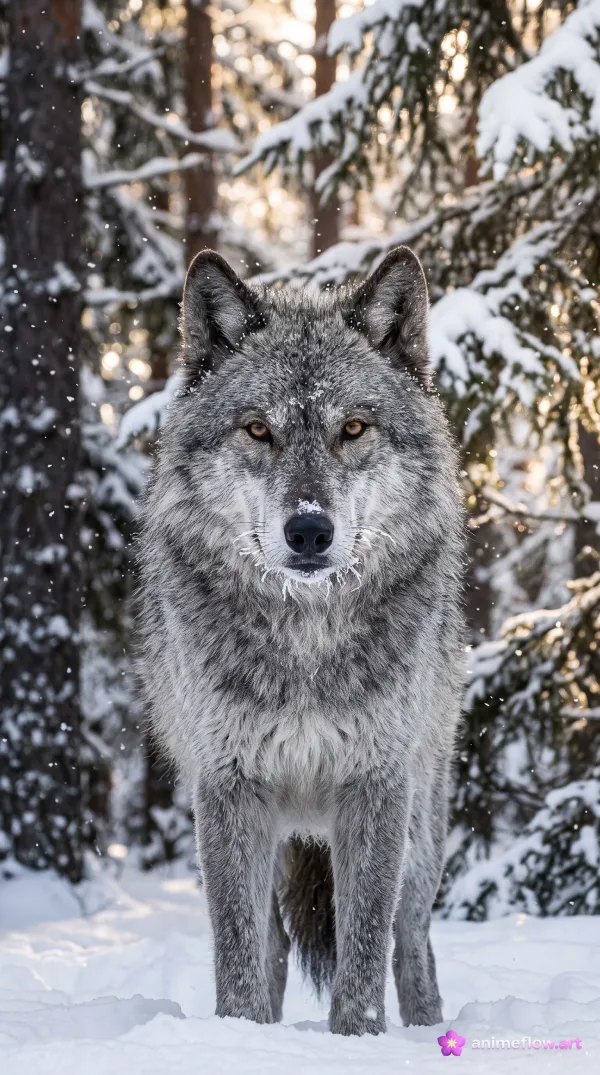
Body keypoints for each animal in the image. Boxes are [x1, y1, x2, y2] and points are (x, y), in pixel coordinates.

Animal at [137, 245, 465, 1036]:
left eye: (354, 429)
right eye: (259, 430)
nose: (309, 531)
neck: (306, 641)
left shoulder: (376, 783)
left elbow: (364, 944)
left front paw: (358, 1039)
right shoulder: (228, 786)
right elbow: (238, 947)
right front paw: (239, 1034)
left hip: (422, 826)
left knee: (412, 938)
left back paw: (427, 1030)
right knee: (274, 942)